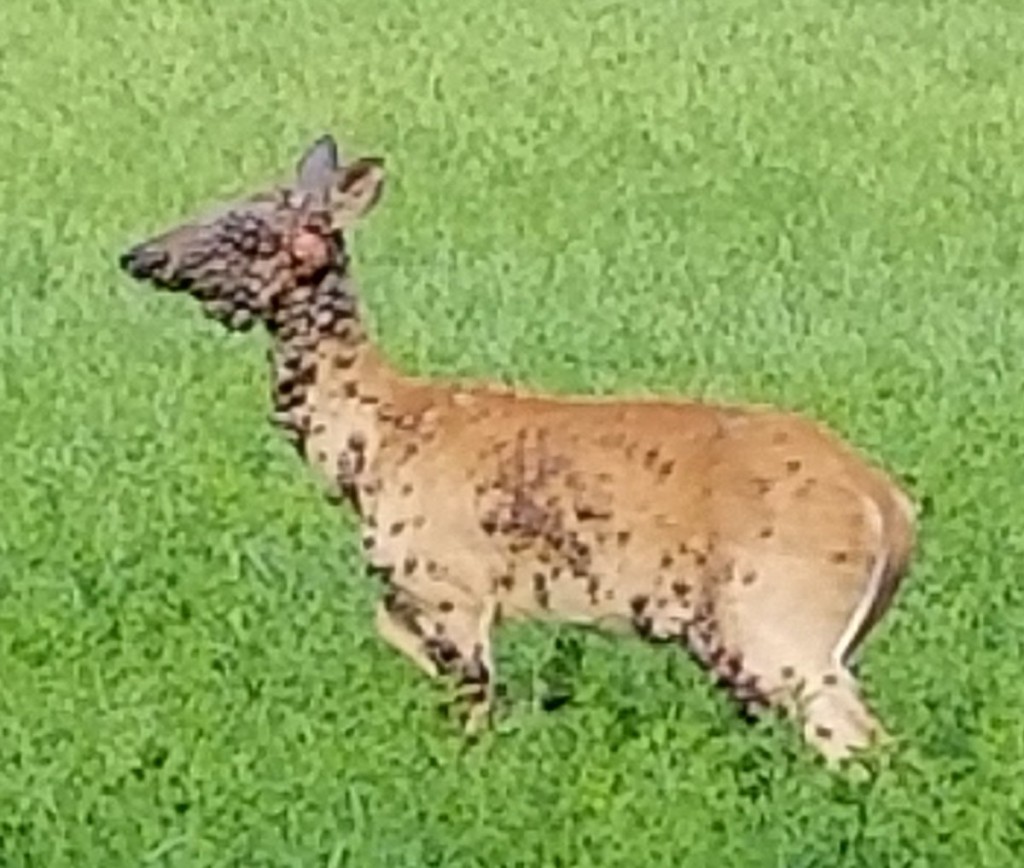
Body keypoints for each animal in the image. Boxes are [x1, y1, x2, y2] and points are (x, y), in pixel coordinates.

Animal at [118, 134, 917, 767]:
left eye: (244, 224)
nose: (138, 254)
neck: (372, 443)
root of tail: (888, 504)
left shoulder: (450, 582)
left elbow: (470, 703)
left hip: (781, 614)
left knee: (861, 741)